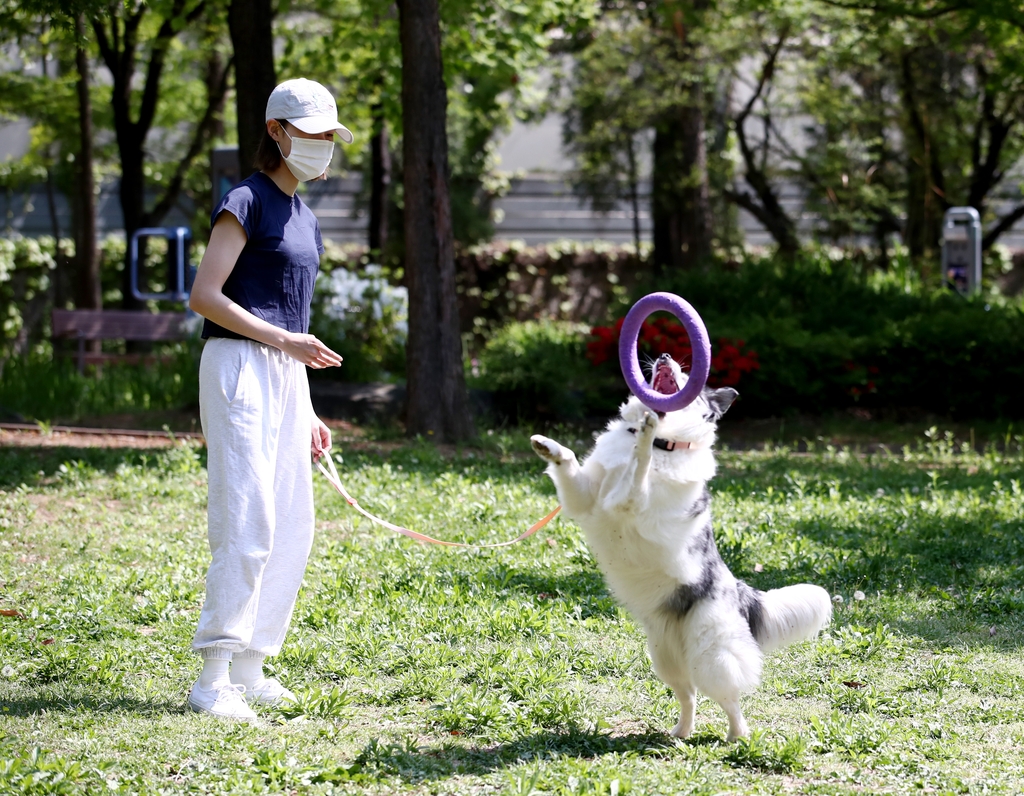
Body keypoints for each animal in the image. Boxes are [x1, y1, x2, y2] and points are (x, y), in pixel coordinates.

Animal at [528, 354, 831, 737]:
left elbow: (639, 466)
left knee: (730, 701)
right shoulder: (583, 498)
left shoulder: (626, 501)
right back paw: (680, 733)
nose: (664, 357)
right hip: (665, 658)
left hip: (712, 657)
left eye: (689, 377)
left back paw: (737, 737)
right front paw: (546, 445)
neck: (666, 444)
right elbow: (569, 460)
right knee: (689, 696)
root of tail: (739, 590)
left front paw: (645, 437)